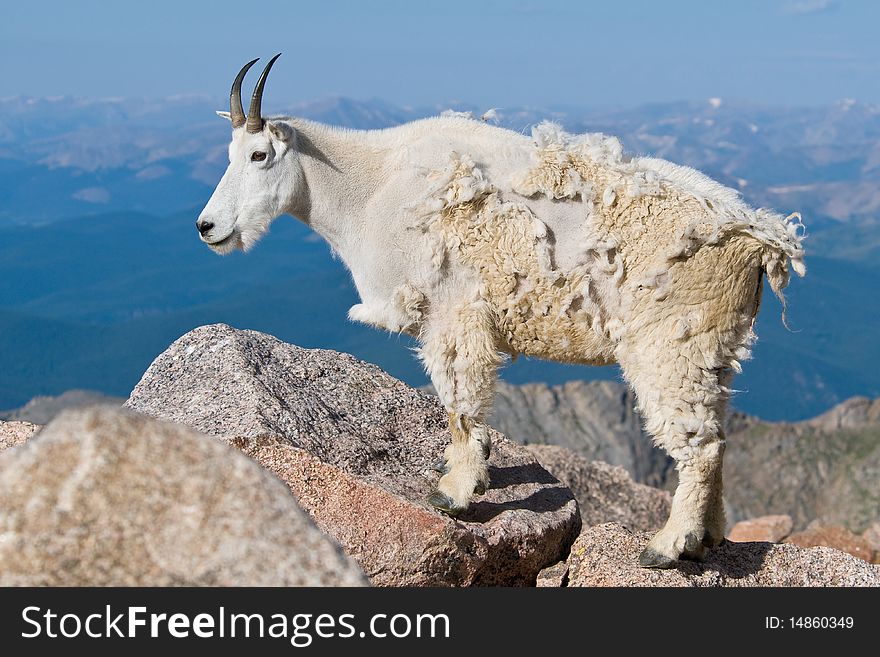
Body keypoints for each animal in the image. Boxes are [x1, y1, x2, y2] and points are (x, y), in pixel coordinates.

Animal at [198, 56, 804, 568]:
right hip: (711, 346)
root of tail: (760, 239)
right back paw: (708, 539)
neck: (367, 188)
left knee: (698, 444)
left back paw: (667, 546)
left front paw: (455, 493)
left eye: (258, 155)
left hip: (669, 345)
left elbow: (459, 402)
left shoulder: (453, 313)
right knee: (717, 435)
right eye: (227, 155)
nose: (207, 227)